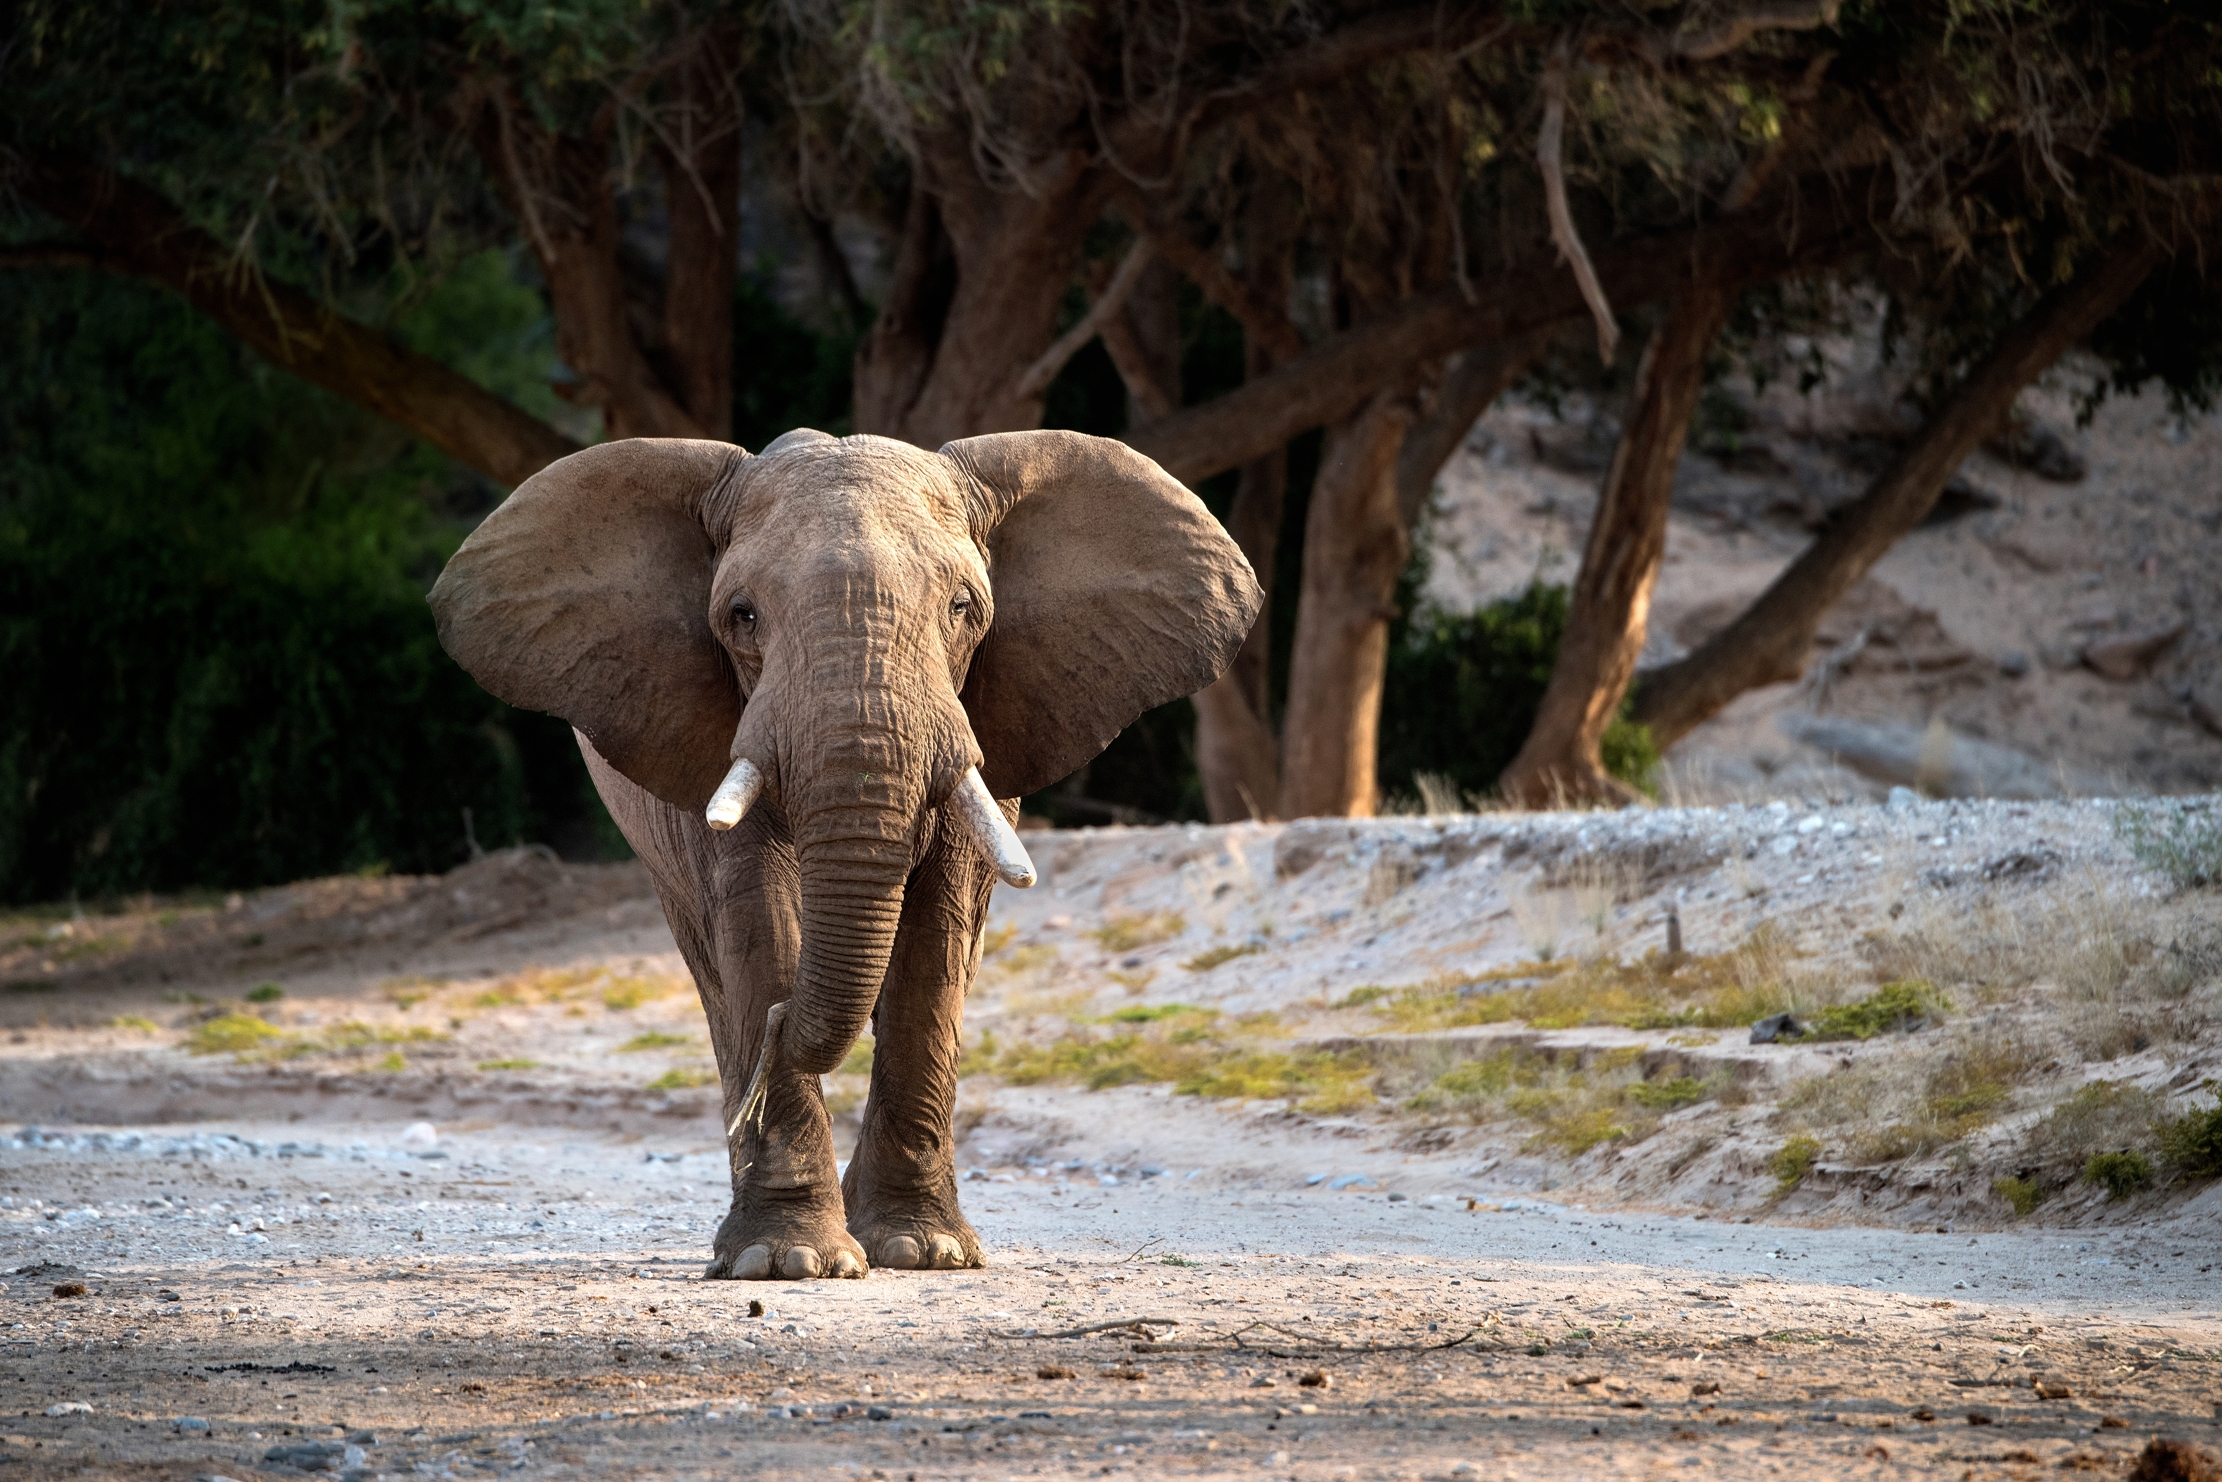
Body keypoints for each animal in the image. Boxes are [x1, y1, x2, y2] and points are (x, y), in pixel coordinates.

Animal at [429, 428, 1260, 1279]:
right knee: (711, 966)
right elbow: (758, 916)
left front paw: (923, 1250)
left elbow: (937, 929)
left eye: (962, 608)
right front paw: (786, 1261)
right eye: (741, 615)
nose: (781, 1024)